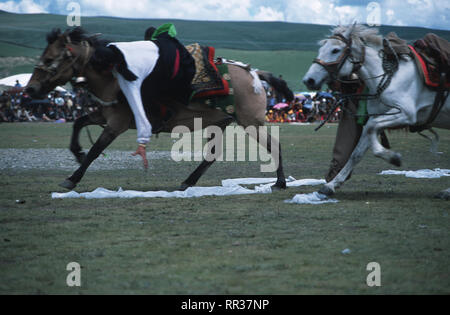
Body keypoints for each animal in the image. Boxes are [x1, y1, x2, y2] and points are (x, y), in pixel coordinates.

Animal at [27, 29, 288, 191]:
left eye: (50, 59)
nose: (31, 89)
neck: (113, 79)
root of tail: (254, 74)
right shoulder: (105, 115)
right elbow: (78, 123)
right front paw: (77, 153)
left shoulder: (117, 124)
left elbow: (95, 150)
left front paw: (72, 178)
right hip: (220, 122)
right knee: (212, 155)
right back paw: (187, 182)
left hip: (250, 122)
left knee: (273, 145)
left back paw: (280, 183)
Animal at [302, 24, 450, 199]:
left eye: (335, 50)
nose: (309, 80)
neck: (389, 76)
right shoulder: (378, 117)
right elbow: (357, 152)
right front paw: (331, 185)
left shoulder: (405, 114)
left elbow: (371, 130)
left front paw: (393, 158)